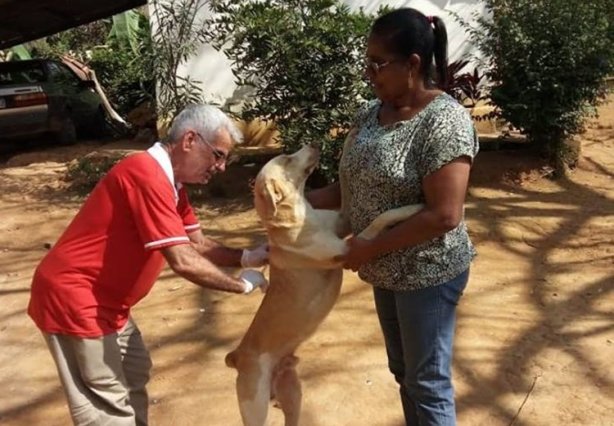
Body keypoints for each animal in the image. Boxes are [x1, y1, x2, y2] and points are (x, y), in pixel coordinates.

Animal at [226, 145, 424, 424]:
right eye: (286, 159)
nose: (312, 145)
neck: (298, 216)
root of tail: (237, 355)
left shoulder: (343, 220)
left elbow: (345, 183)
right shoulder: (348, 249)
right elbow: (380, 219)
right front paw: (413, 208)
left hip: (292, 393)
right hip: (255, 407)